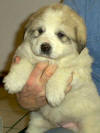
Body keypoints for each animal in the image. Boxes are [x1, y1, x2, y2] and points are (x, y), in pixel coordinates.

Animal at [3, 3, 100, 133]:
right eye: (40, 31)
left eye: (60, 34)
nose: (45, 46)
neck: (47, 60)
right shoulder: (23, 54)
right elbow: (24, 63)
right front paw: (13, 82)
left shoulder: (79, 71)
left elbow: (61, 70)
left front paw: (54, 95)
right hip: (37, 124)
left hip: (89, 125)